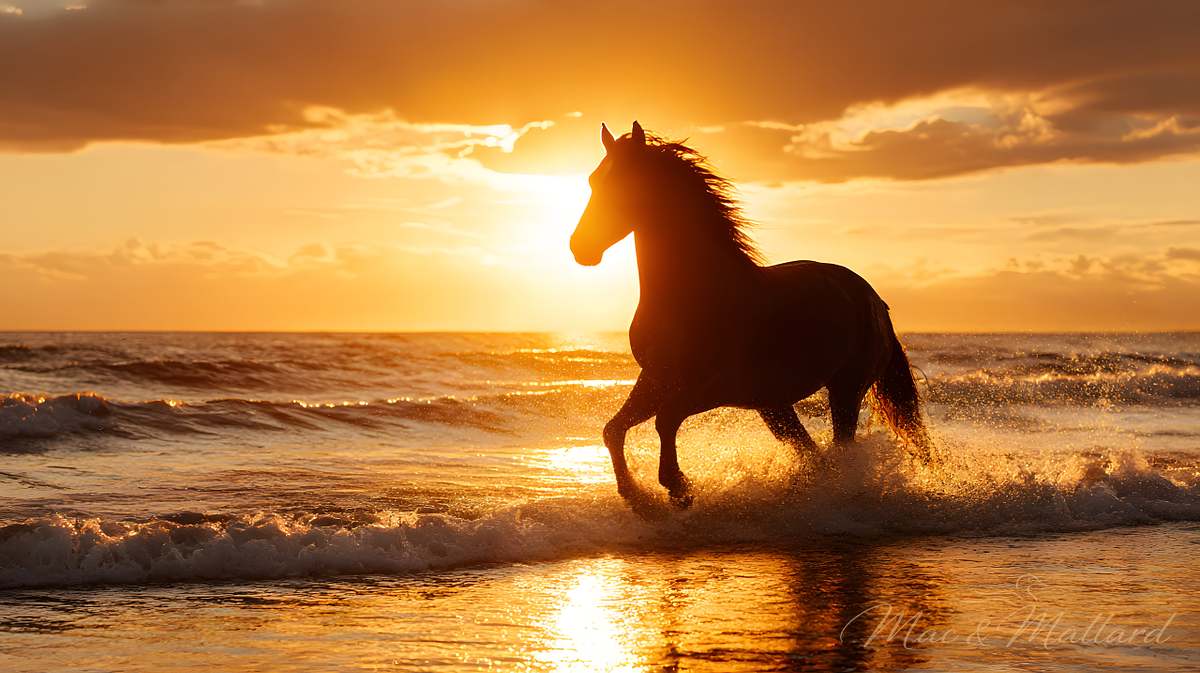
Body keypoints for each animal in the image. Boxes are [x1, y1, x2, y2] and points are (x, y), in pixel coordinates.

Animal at [569, 121, 933, 509]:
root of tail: (874, 300)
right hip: (774, 405)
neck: (693, 293)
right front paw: (638, 496)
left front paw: (678, 487)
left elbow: (665, 420)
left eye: (625, 181)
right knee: (814, 455)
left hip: (844, 389)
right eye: (593, 181)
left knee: (837, 450)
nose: (580, 247)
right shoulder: (656, 378)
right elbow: (613, 429)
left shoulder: (715, 388)